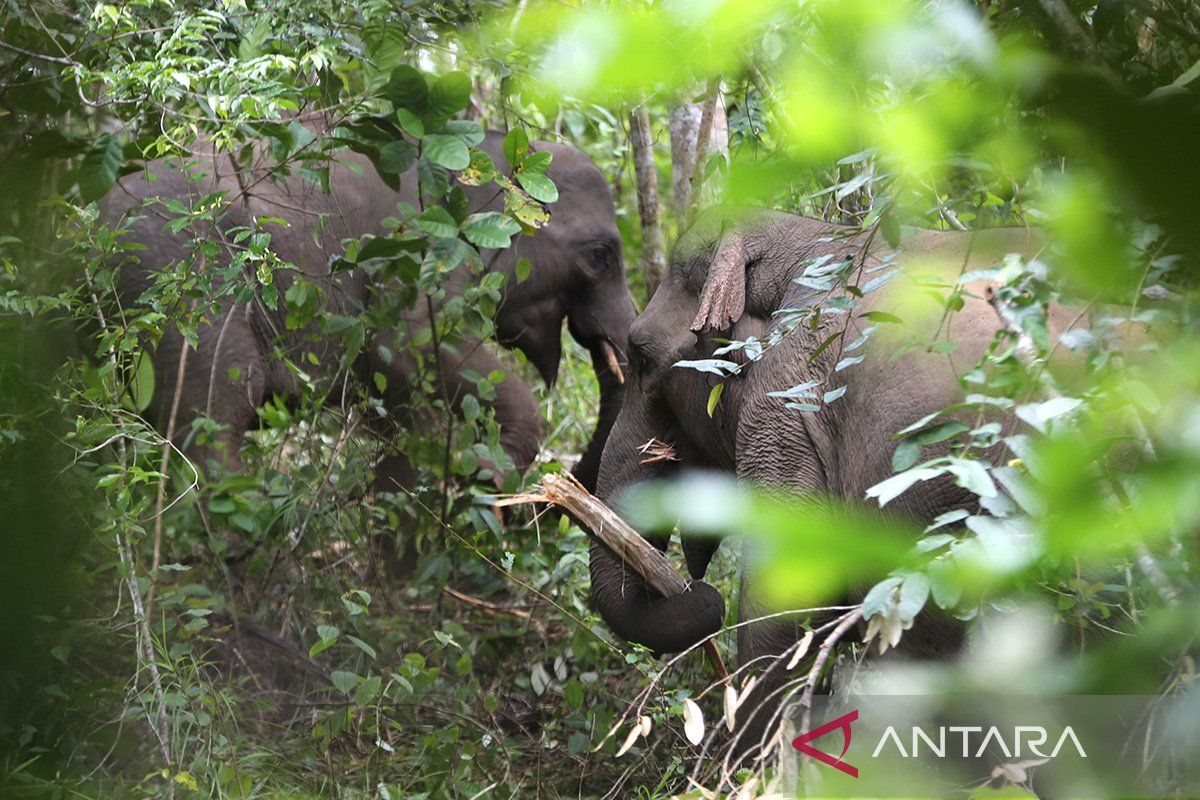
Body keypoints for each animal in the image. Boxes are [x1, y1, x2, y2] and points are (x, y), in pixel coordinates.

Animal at [101, 130, 634, 524]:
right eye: (600, 255)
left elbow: (399, 404)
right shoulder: (423, 253)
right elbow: (403, 347)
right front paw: (487, 480)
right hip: (184, 283)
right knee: (220, 409)